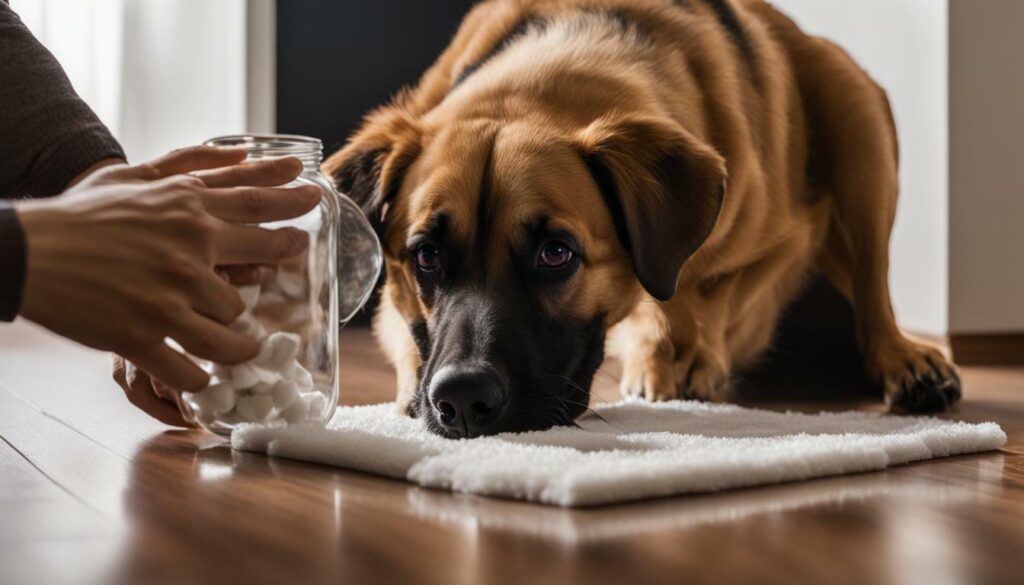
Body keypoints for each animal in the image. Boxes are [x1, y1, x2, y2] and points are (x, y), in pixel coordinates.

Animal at [323, 0, 962, 438]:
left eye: (556, 253)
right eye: (426, 255)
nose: (461, 401)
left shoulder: (772, 244)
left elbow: (694, 292)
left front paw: (683, 353)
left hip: (857, 117)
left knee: (873, 287)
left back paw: (906, 358)